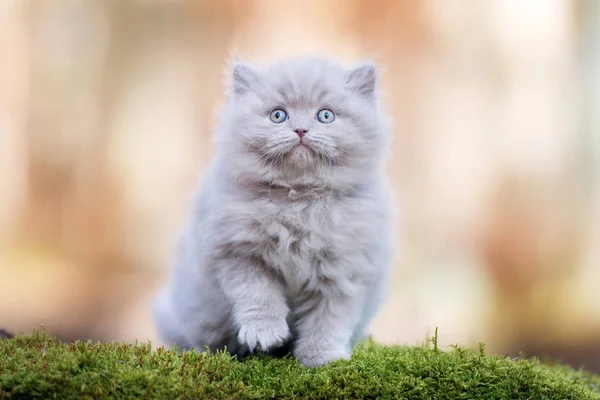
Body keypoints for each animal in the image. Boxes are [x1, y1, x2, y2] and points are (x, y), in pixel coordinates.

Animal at [151, 54, 394, 368]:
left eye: (325, 116)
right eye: (278, 115)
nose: (301, 130)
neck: (298, 201)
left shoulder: (344, 271)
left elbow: (328, 320)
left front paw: (322, 359)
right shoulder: (239, 254)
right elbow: (259, 297)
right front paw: (264, 335)